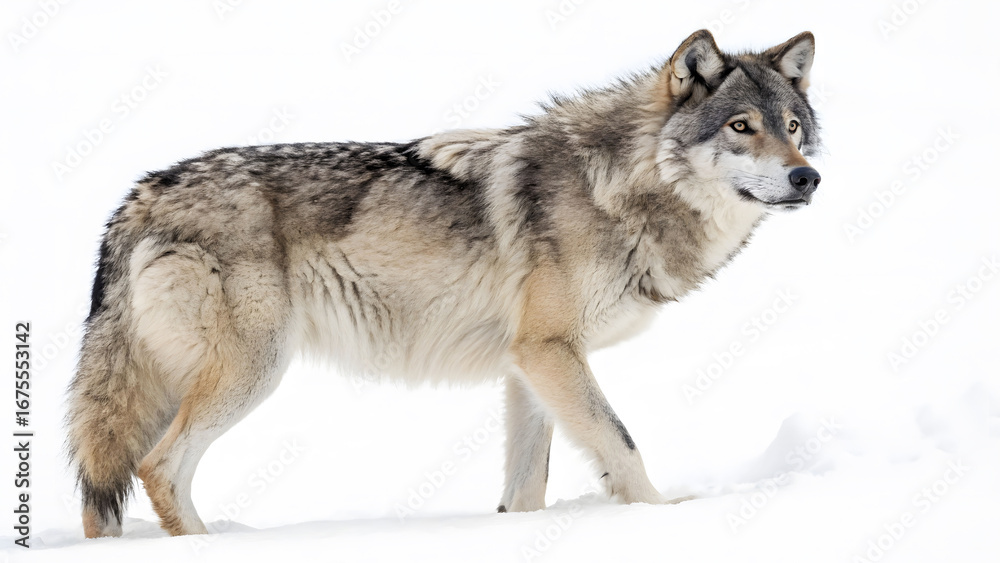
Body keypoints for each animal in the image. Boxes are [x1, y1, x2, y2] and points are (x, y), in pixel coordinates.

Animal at [66, 29, 821, 537]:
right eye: (741, 126)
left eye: (792, 127)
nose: (806, 177)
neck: (618, 186)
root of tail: (139, 194)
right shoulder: (552, 352)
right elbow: (621, 442)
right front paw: (663, 521)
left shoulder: (529, 365)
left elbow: (527, 487)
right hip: (253, 368)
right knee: (160, 467)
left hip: (175, 380)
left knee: (109, 480)